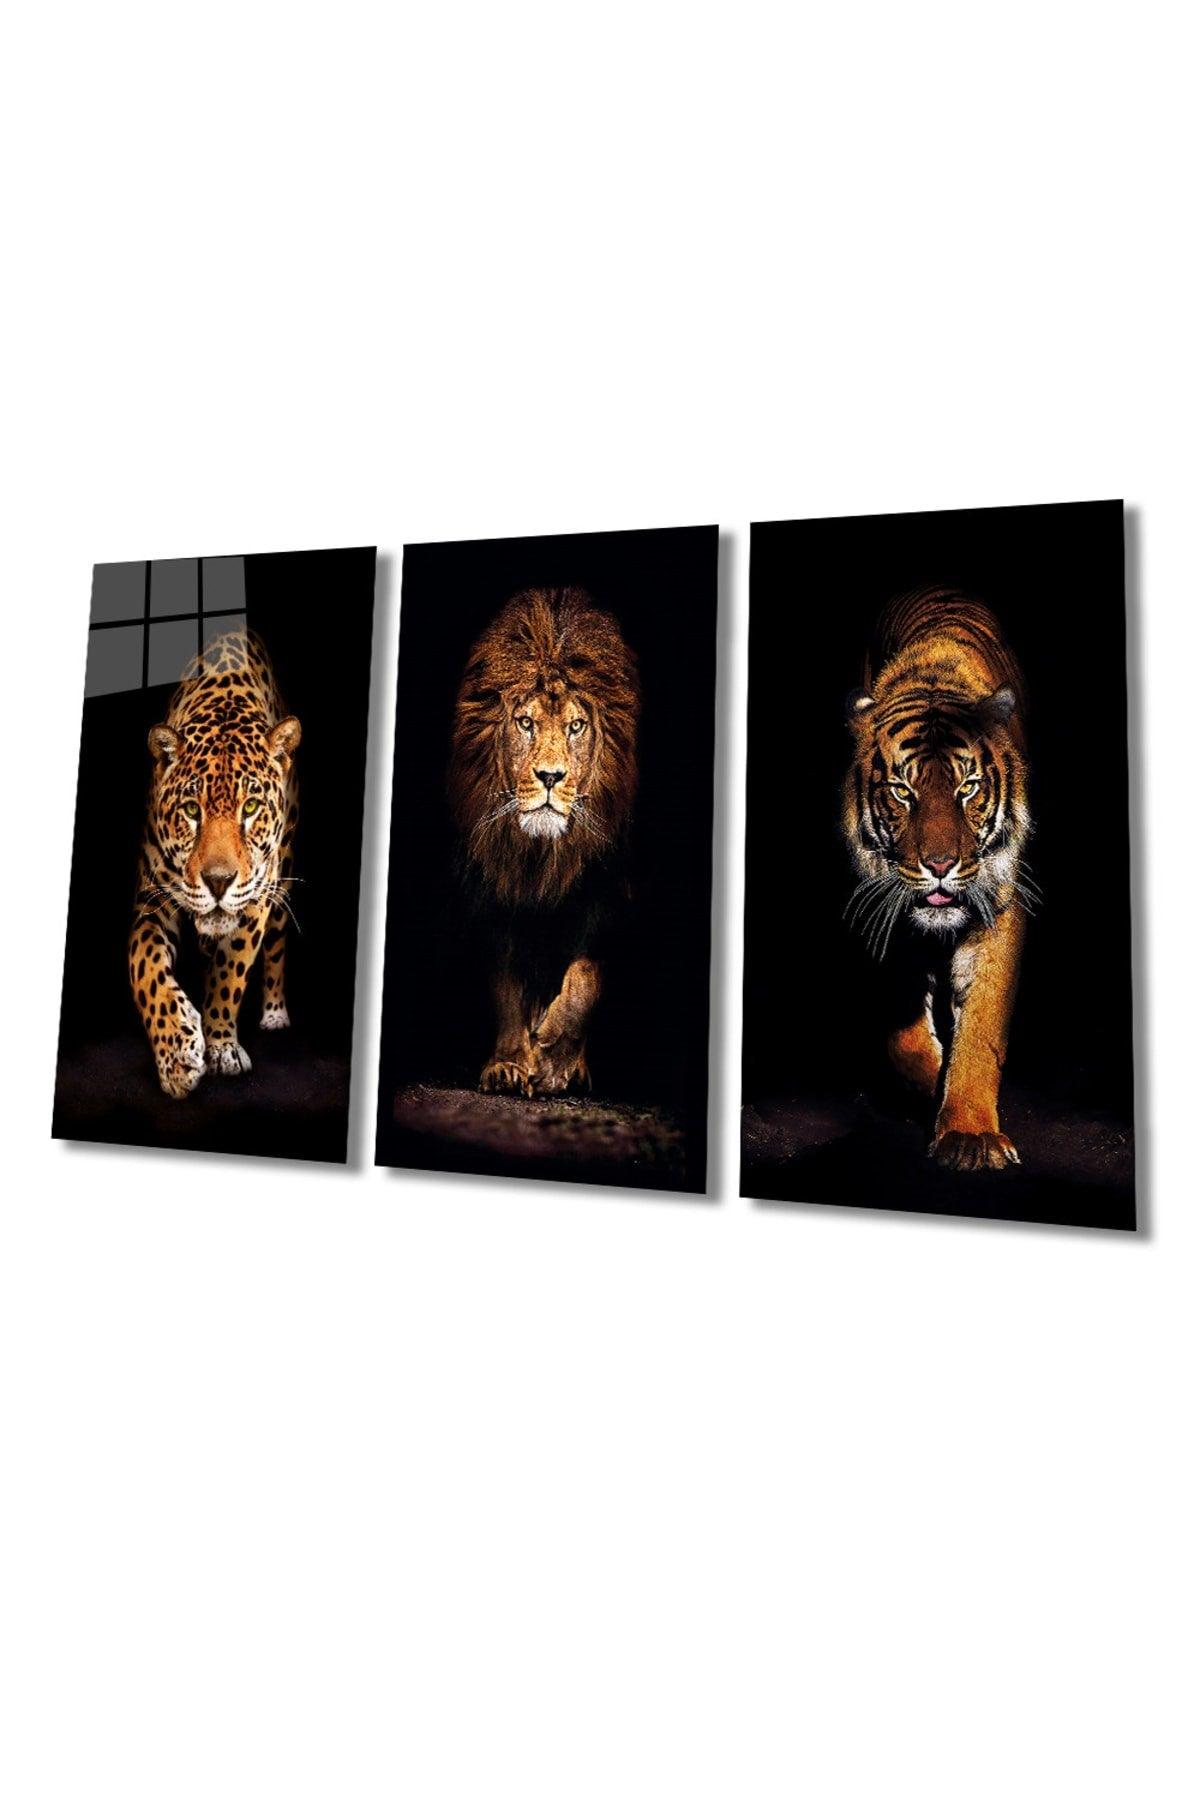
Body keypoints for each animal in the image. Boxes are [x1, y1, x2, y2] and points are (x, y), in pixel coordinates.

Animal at [128, 628, 301, 1098]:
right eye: (192, 810)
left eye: (251, 807)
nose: (218, 882)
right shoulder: (152, 899)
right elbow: (145, 968)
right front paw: (176, 1055)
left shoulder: (256, 899)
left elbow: (230, 972)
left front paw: (221, 1044)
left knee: (277, 944)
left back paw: (275, 1012)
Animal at [449, 586, 640, 1096]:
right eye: (525, 723)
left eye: (576, 726)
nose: (550, 777)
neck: (542, 855)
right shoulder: (492, 895)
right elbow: (506, 989)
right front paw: (509, 1064)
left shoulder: (609, 895)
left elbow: (586, 976)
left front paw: (554, 1056)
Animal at [843, 586, 1034, 1170]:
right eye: (903, 792)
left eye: (967, 787)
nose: (941, 864)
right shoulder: (883, 907)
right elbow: (903, 1035)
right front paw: (931, 1091)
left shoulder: (1000, 905)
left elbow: (982, 1027)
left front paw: (969, 1134)